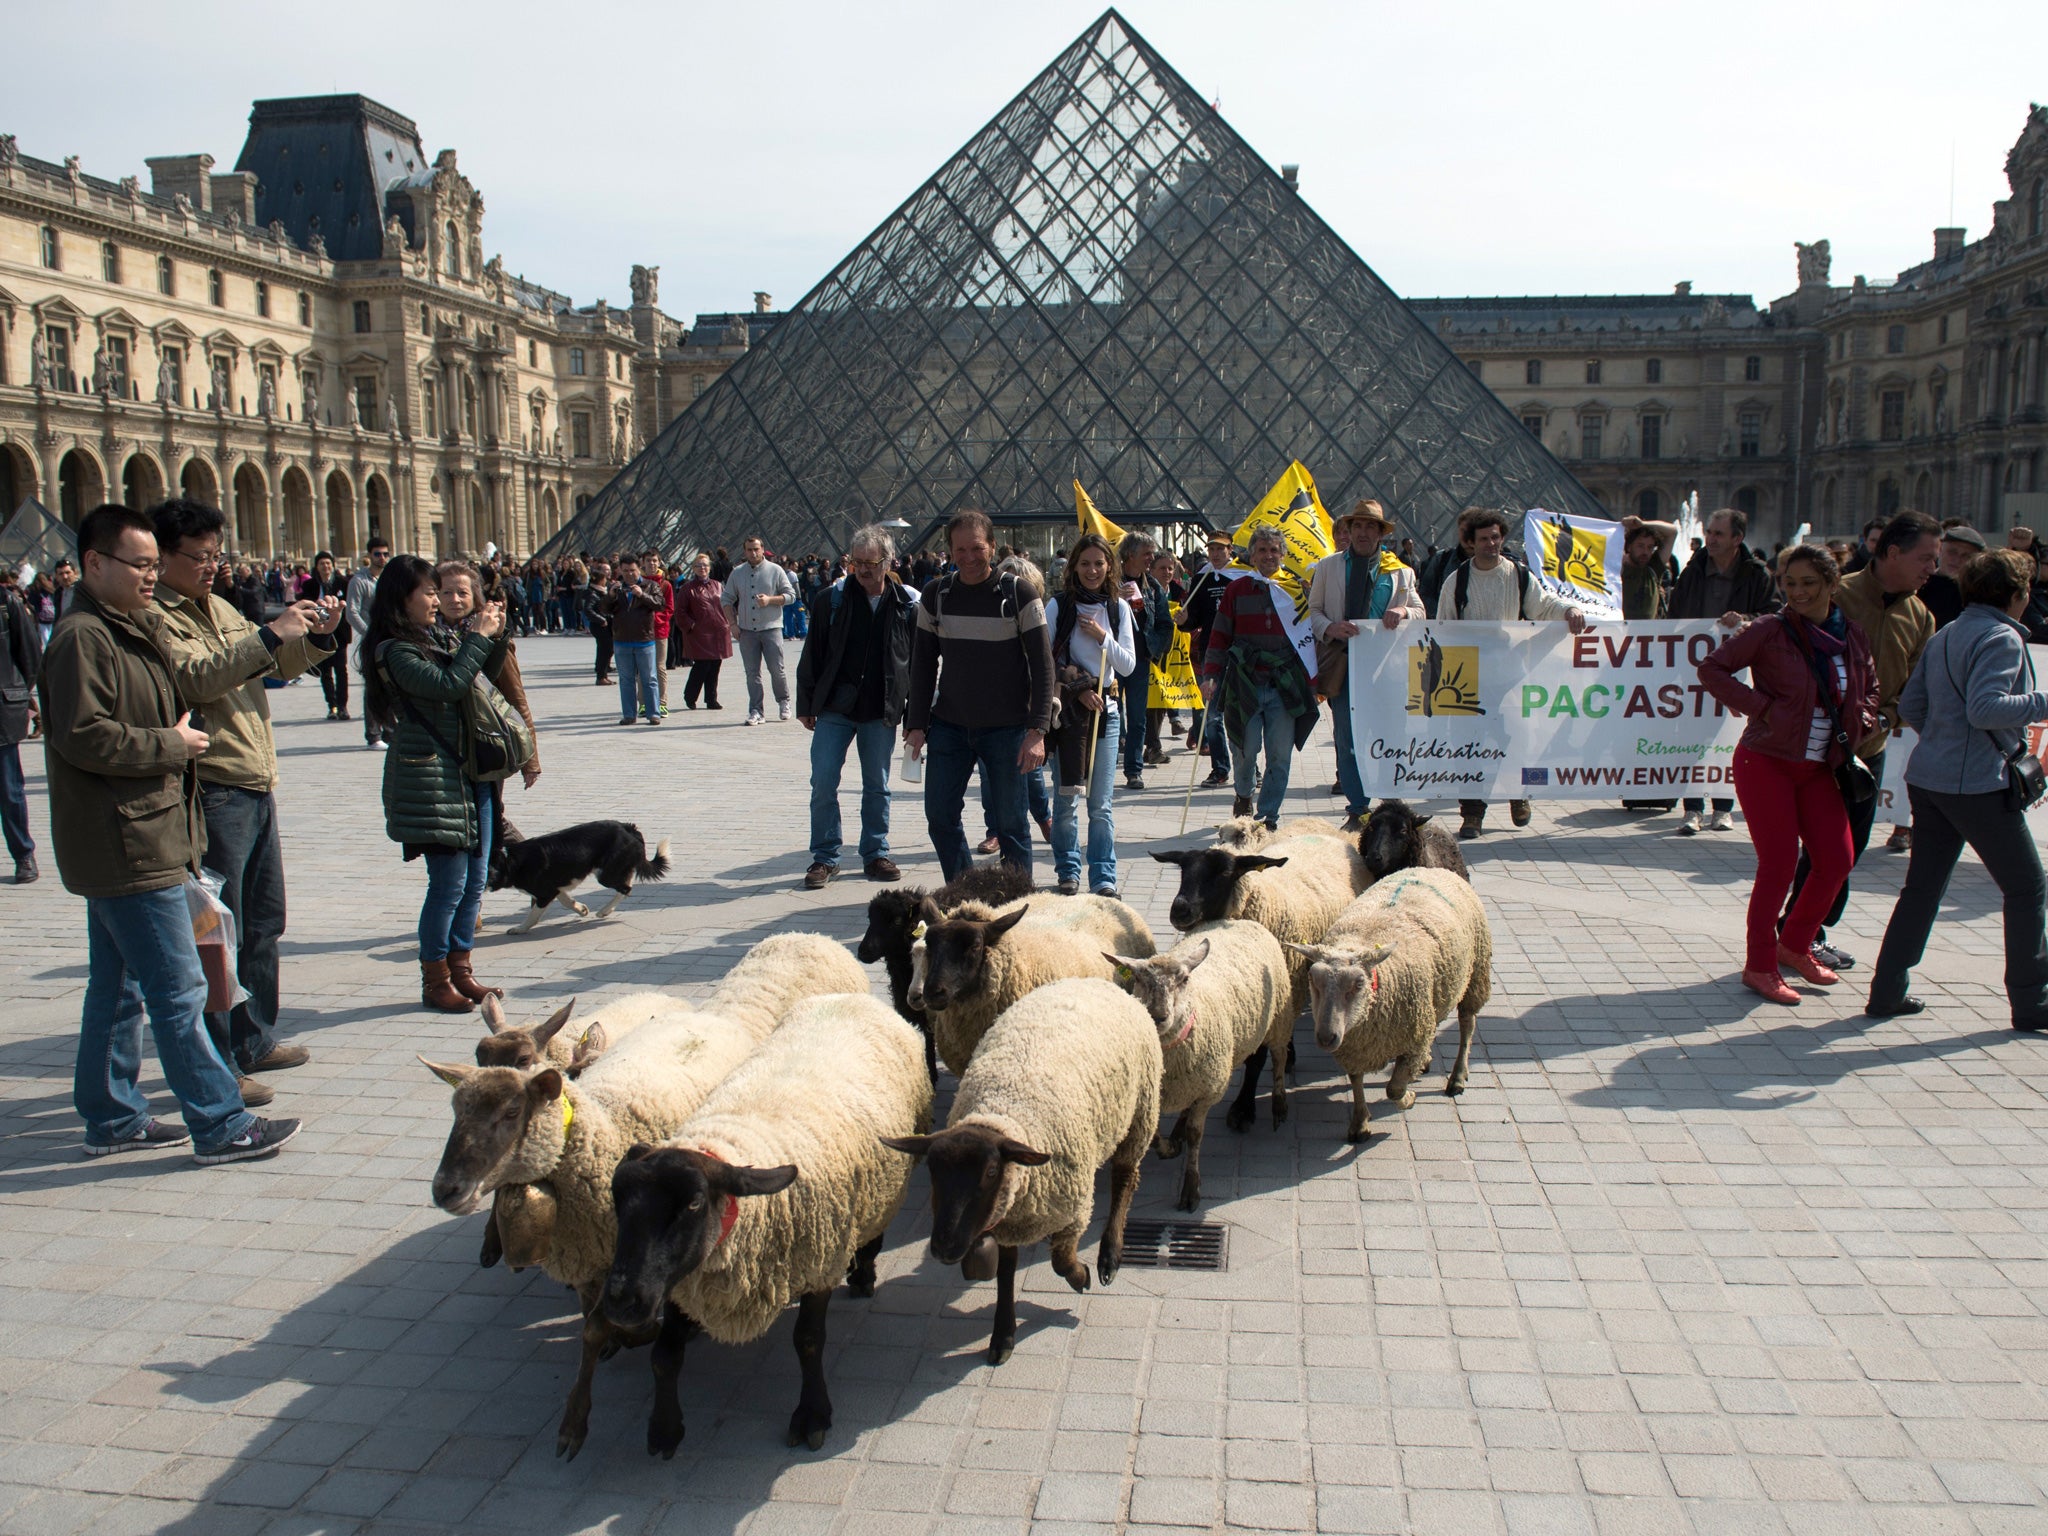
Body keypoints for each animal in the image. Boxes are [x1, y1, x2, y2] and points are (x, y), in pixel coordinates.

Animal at [598, 999, 929, 1458]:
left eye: (694, 1204)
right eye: (618, 1201)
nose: (621, 1301)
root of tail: (851, 999)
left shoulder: (818, 1262)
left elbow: (808, 1341)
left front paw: (812, 1415)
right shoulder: (682, 1278)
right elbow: (664, 1356)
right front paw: (664, 1429)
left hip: (882, 1188)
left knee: (872, 1233)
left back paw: (863, 1272)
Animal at [884, 978, 1163, 1368]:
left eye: (990, 1172)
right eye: (933, 1172)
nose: (943, 1248)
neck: (1004, 1113)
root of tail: (1093, 980)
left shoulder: (1073, 1210)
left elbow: (1061, 1262)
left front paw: (1081, 1277)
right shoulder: (1008, 1219)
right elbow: (1004, 1275)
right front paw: (1003, 1335)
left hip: (1140, 1110)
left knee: (1125, 1178)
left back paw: (1110, 1256)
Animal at [1114, 925, 1286, 1212]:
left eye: (1184, 980)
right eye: (1138, 979)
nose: (1159, 1016)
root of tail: (1246, 922)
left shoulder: (1208, 1092)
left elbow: (1196, 1135)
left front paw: (1191, 1188)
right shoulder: (1153, 1097)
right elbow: (1155, 1135)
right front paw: (1169, 1148)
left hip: (1280, 1016)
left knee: (1279, 1057)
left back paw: (1279, 1106)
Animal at [1286, 868, 1499, 1146]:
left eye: (1359, 983)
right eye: (1312, 979)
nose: (1326, 1037)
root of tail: (1432, 869)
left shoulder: (1412, 1038)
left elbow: (1394, 1089)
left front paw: (1408, 1099)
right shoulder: (1356, 1046)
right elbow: (1356, 1081)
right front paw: (1360, 1124)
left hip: (1475, 973)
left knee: (1467, 1024)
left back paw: (1458, 1077)